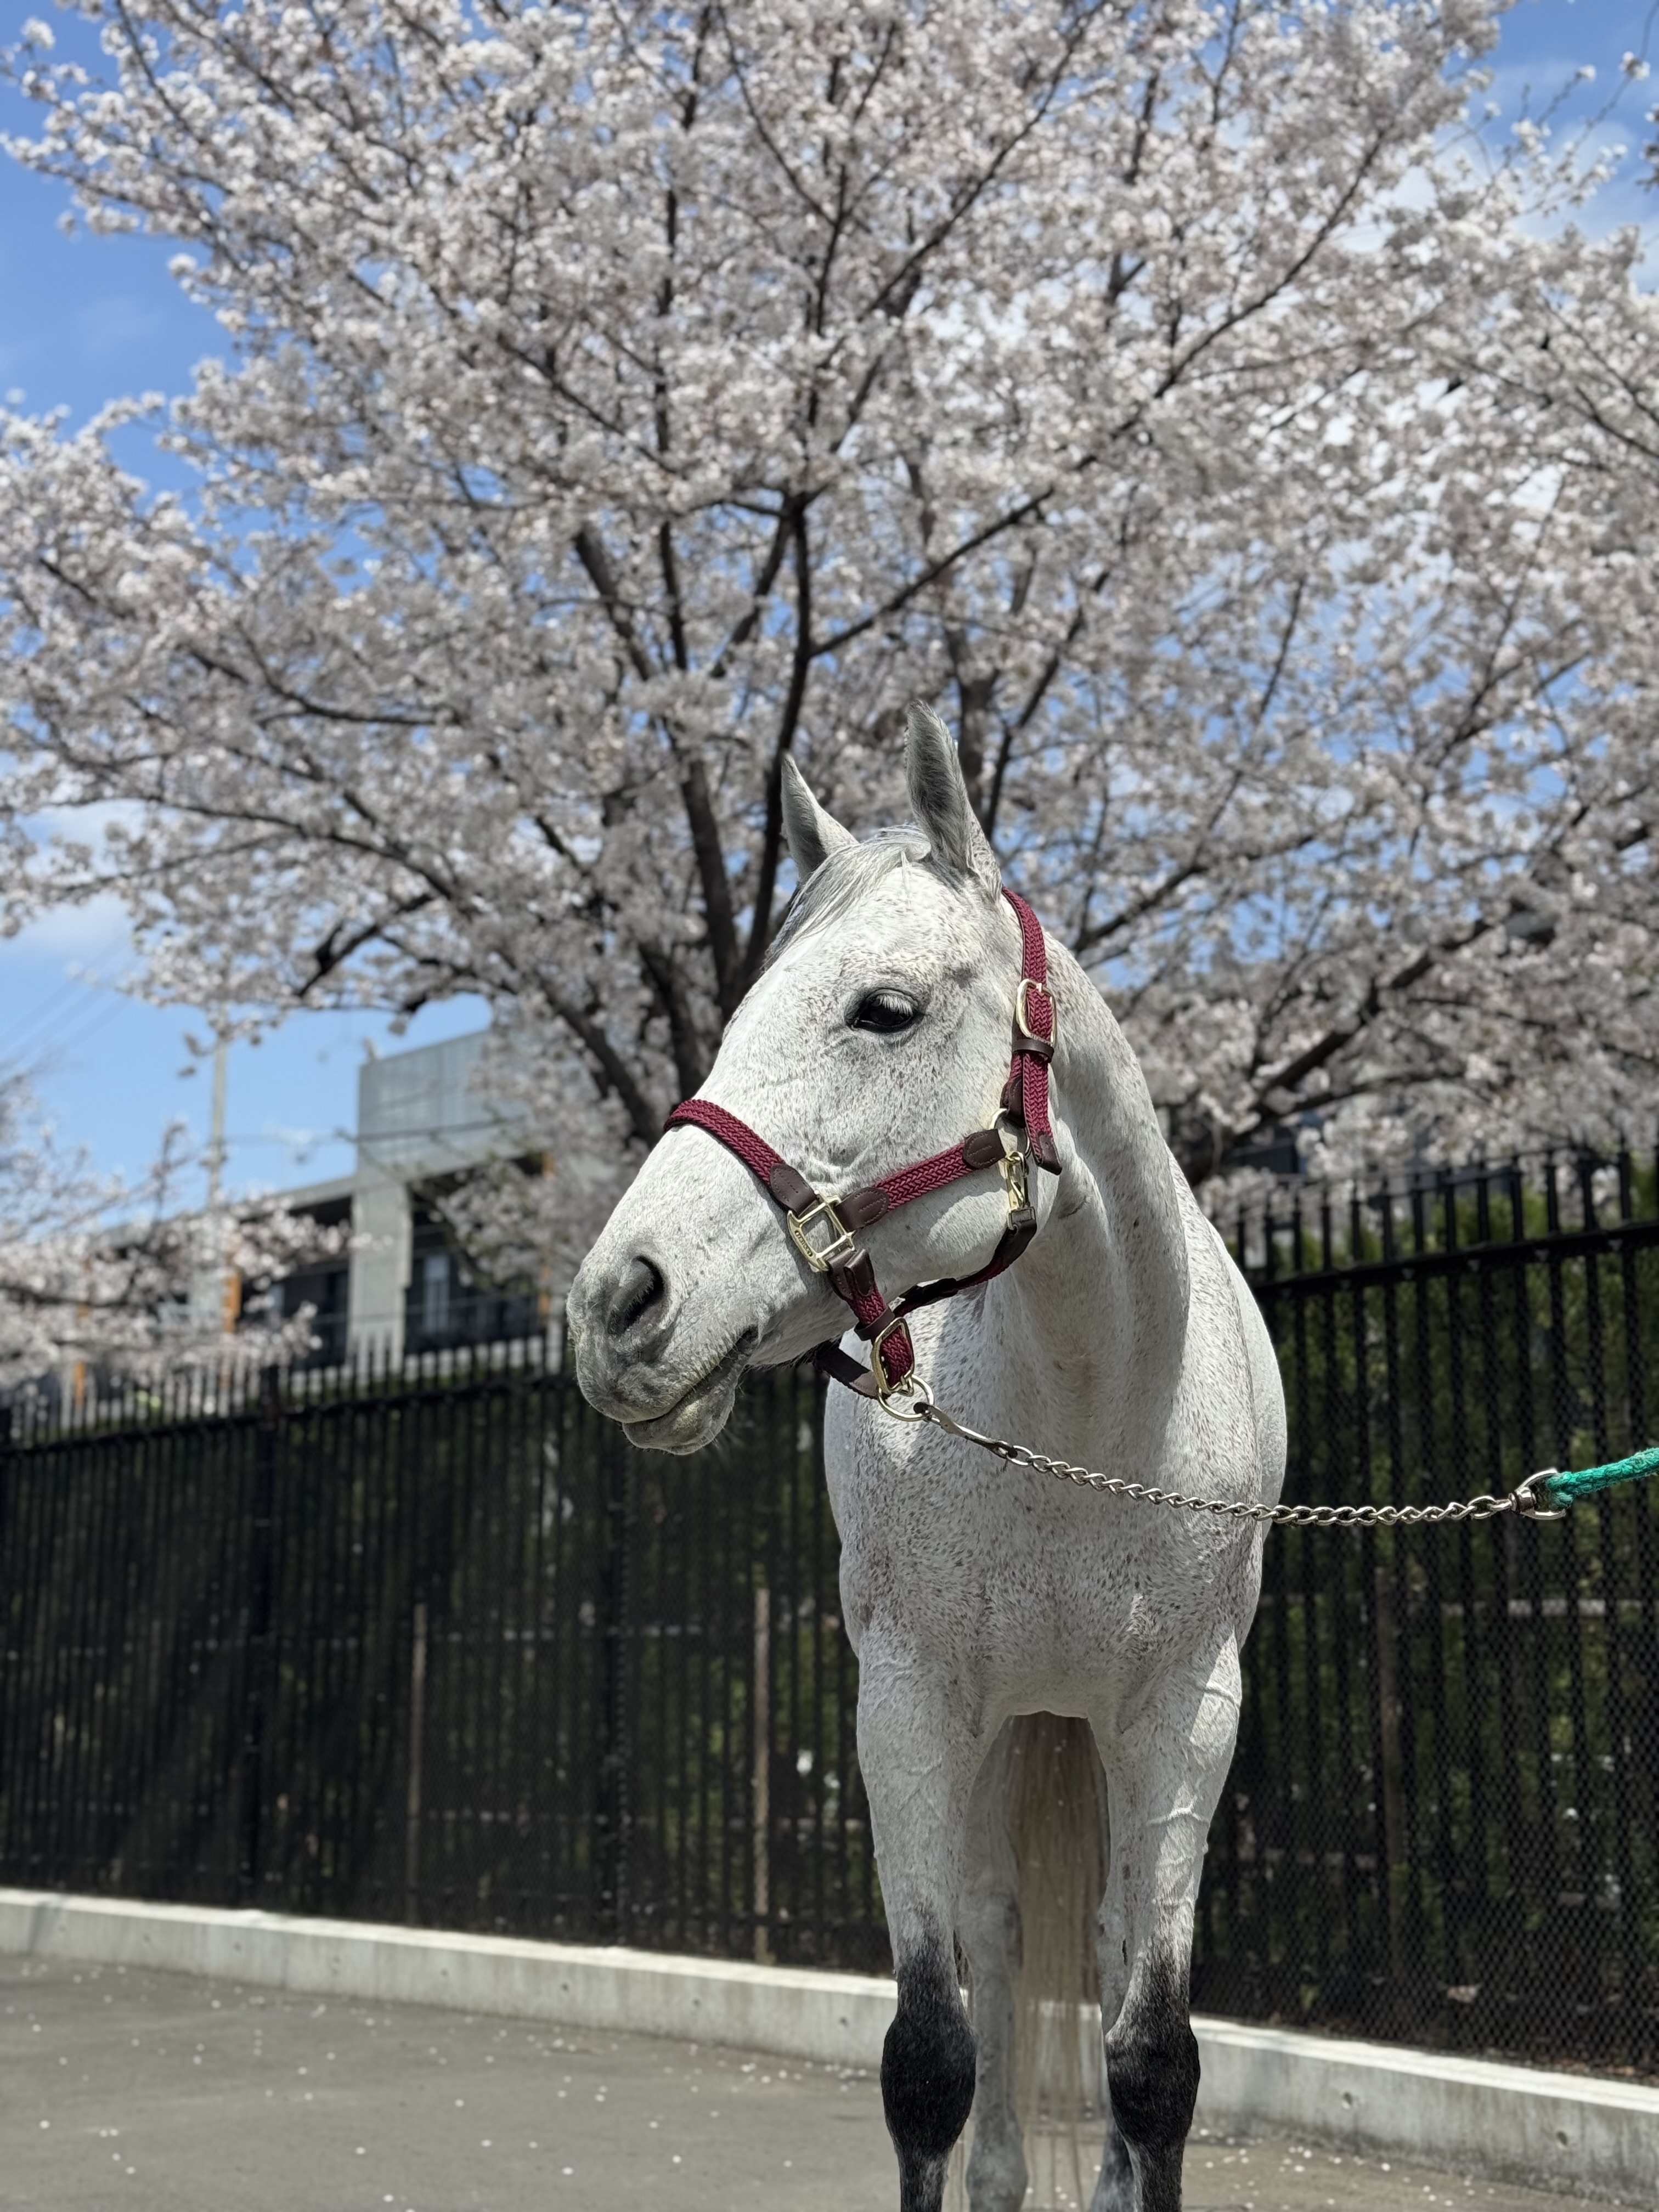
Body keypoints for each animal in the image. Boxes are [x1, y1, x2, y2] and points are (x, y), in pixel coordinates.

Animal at [566, 703, 1286, 2212]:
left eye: (883, 1010)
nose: (618, 1305)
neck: (1085, 1430)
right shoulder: (905, 1706)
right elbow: (931, 2062)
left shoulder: (1188, 1714)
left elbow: (1152, 2063)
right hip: (1006, 1732)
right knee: (1003, 1947)